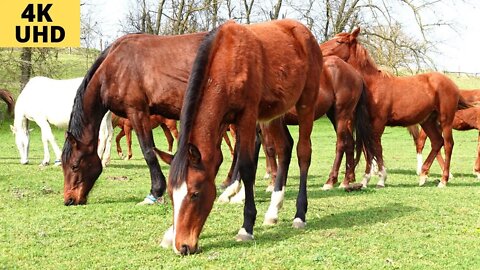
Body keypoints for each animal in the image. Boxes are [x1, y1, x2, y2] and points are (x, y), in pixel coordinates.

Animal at [61, 31, 207, 205]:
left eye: (74, 165)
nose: (69, 199)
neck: (113, 69)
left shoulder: (137, 113)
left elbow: (148, 152)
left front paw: (155, 192)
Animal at [158, 19, 322, 255]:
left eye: (195, 193)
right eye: (172, 195)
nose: (184, 246)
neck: (227, 60)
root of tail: (304, 32)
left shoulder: (246, 116)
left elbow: (246, 166)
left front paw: (246, 227)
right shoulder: (224, 121)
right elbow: (218, 158)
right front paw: (170, 234)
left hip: (305, 104)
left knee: (303, 152)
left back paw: (299, 215)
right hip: (273, 113)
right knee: (284, 147)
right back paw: (273, 210)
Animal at [320, 27, 470, 188]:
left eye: (339, 41)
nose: (319, 50)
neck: (373, 85)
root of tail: (452, 84)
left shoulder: (378, 123)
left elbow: (376, 147)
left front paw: (381, 179)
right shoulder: (366, 124)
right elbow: (369, 149)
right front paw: (366, 179)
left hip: (445, 120)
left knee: (448, 144)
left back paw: (443, 180)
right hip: (427, 121)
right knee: (437, 142)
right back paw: (423, 175)